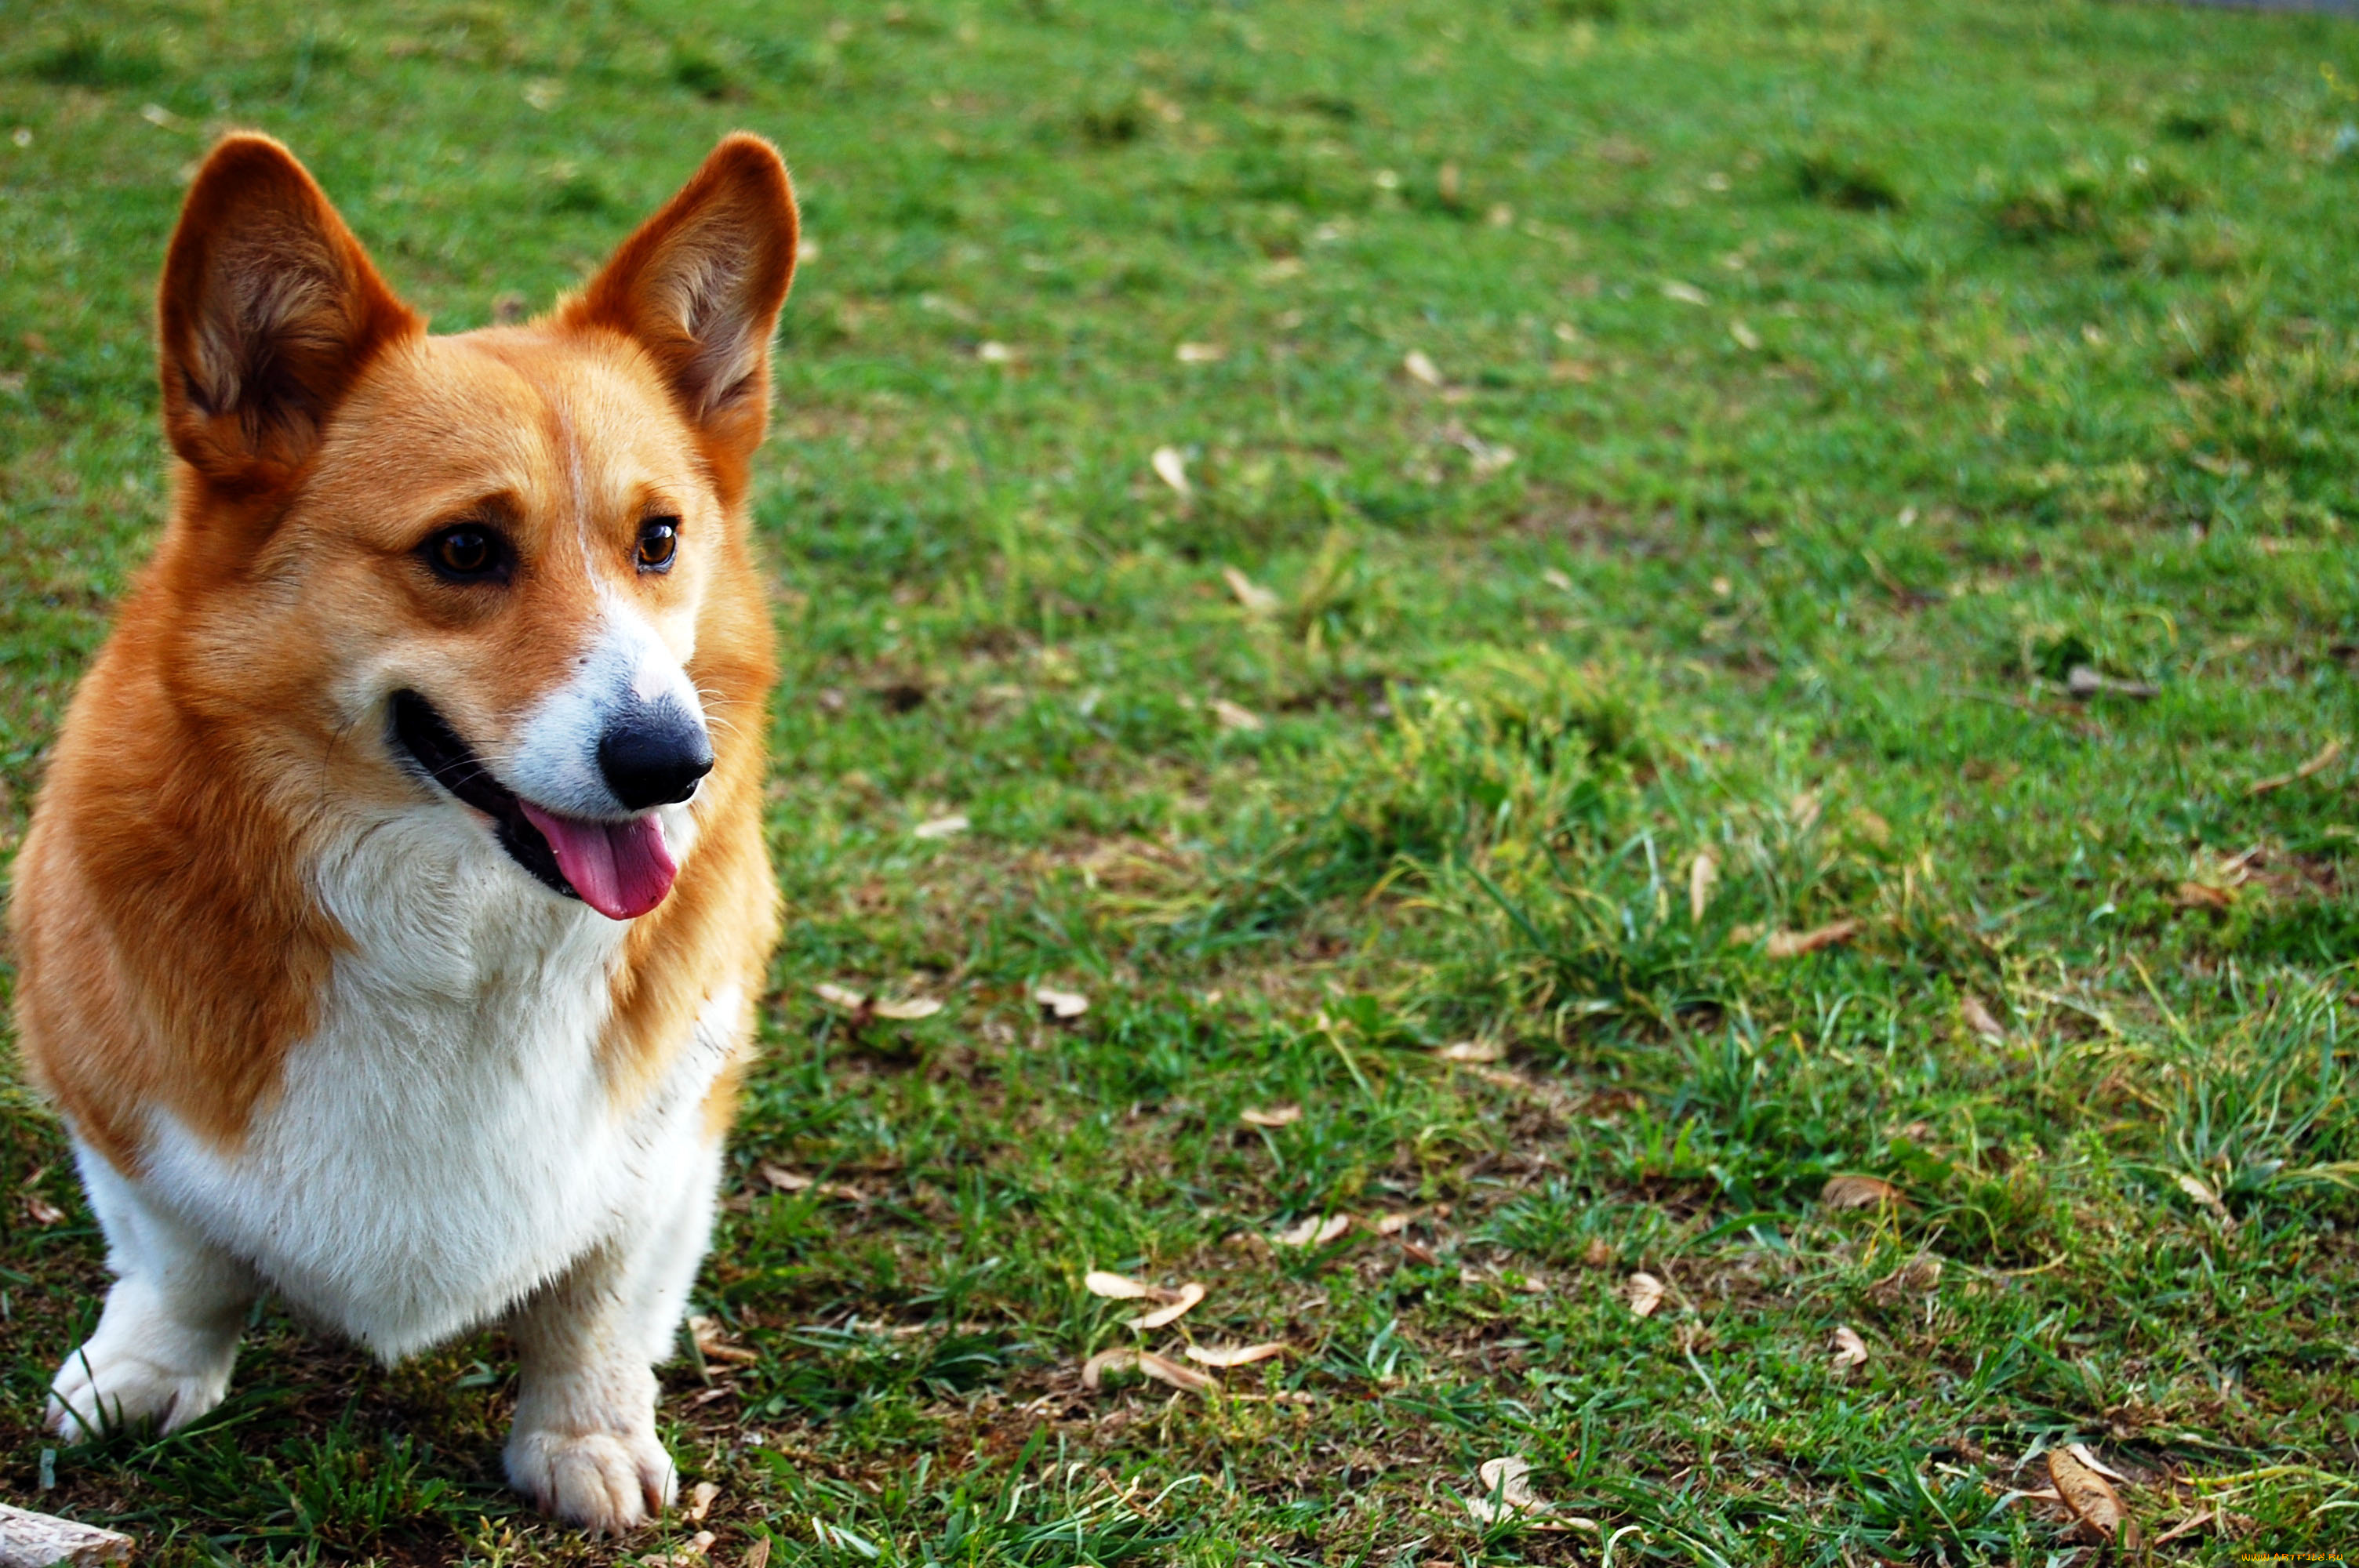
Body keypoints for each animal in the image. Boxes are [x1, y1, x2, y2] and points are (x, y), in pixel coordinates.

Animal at [4, 134, 797, 1527]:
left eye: (659, 538)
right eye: (465, 550)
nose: (673, 765)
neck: (459, 928)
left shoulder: (675, 1129)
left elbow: (601, 1293)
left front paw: (586, 1437)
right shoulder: (116, 1095)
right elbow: (182, 1255)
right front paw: (146, 1374)